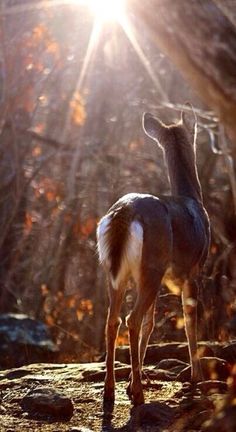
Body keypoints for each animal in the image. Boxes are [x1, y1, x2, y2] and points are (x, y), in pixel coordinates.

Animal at [96, 107, 210, 404]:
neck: (193, 199)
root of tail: (125, 211)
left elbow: (152, 322)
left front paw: (132, 379)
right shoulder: (194, 268)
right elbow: (189, 319)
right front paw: (196, 377)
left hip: (116, 271)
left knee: (112, 320)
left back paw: (110, 390)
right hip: (152, 265)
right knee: (132, 319)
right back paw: (138, 393)